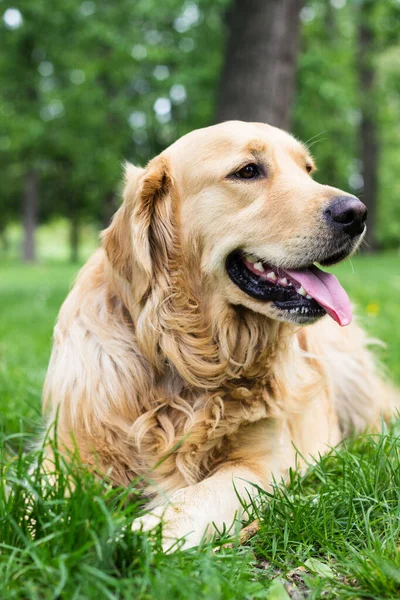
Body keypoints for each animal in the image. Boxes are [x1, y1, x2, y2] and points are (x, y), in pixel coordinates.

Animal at [42, 120, 398, 548]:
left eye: (308, 170)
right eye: (248, 171)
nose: (357, 212)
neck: (184, 355)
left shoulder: (257, 464)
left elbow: (191, 499)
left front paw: (139, 536)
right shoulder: (64, 452)